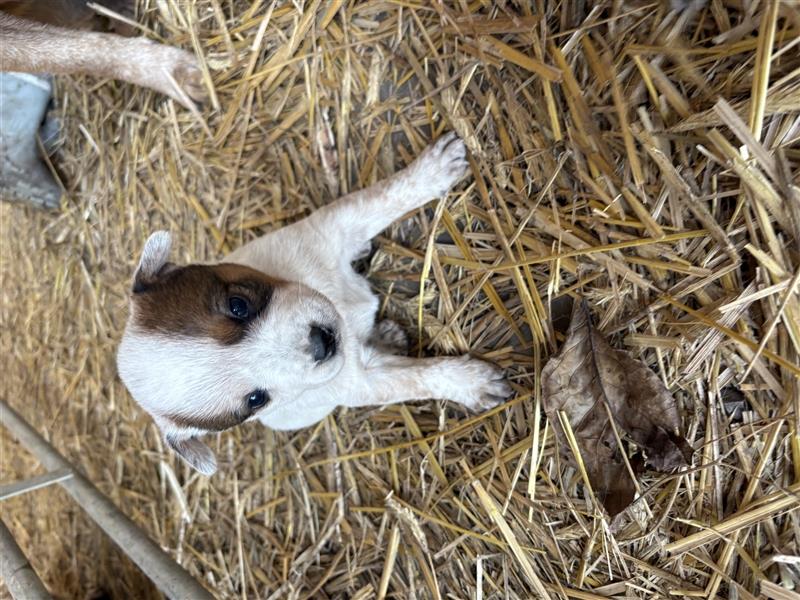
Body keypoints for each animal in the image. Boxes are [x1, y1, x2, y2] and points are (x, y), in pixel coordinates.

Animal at [115, 134, 510, 476]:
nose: (322, 343)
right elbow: (419, 378)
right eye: (256, 400)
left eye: (238, 305)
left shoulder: (332, 226)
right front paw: (470, 383)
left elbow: (381, 198)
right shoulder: (363, 381)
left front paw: (432, 170)